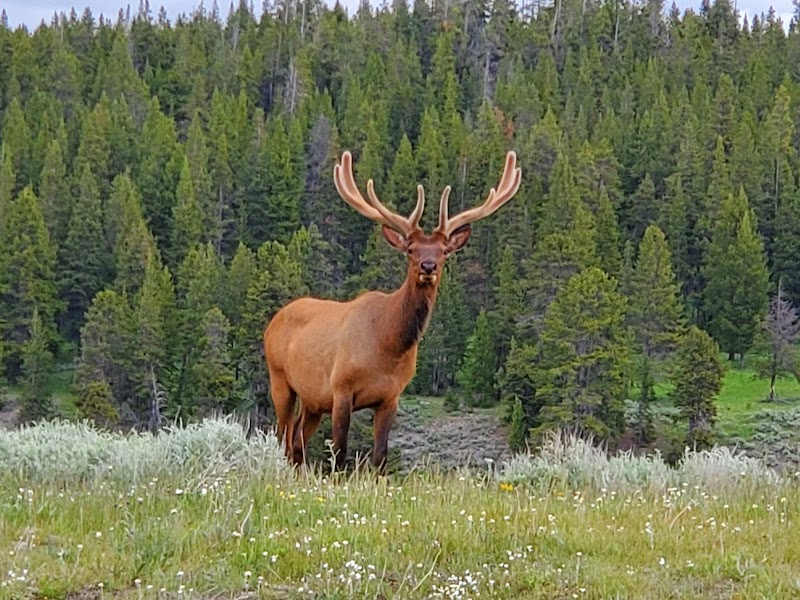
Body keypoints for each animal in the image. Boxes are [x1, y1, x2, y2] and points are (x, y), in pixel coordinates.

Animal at [263, 149, 522, 471]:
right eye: (410, 249)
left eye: (443, 251)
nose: (428, 266)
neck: (387, 346)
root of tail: (273, 321)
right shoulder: (340, 388)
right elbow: (340, 454)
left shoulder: (390, 397)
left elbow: (380, 457)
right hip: (280, 379)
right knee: (281, 435)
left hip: (312, 400)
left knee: (296, 440)